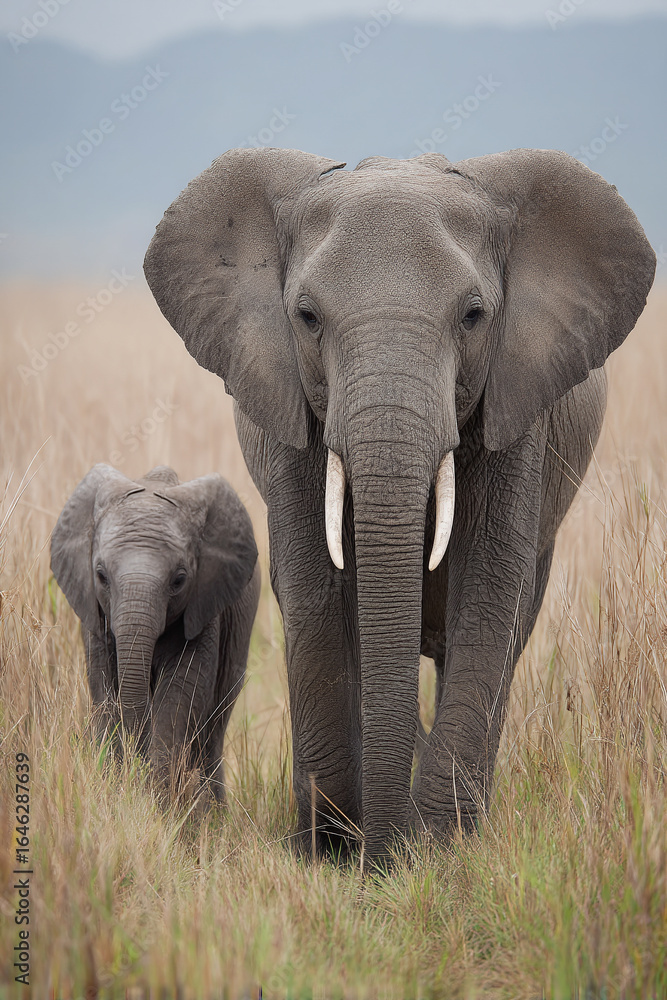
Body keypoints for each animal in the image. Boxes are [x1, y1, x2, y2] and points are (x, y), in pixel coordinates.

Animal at [51, 464, 260, 803]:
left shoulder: (204, 608)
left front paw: (158, 803)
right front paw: (117, 789)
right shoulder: (95, 617)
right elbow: (103, 685)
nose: (136, 768)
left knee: (212, 729)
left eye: (179, 580)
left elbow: (181, 693)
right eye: (101, 576)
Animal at [143, 147, 655, 859]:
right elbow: (313, 589)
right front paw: (331, 850)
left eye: (473, 316)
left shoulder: (518, 406)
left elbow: (490, 594)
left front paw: (442, 851)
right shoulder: (294, 416)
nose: (385, 855)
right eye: (307, 317)